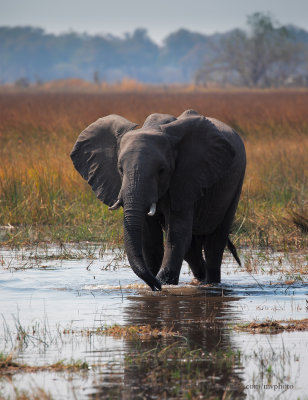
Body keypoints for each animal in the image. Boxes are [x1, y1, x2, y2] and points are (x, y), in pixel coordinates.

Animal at [71, 109, 247, 290]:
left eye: (162, 170)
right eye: (120, 169)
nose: (156, 286)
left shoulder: (185, 179)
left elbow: (176, 234)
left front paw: (164, 284)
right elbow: (149, 239)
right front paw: (154, 284)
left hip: (236, 182)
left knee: (214, 242)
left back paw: (211, 283)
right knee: (192, 248)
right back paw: (200, 281)